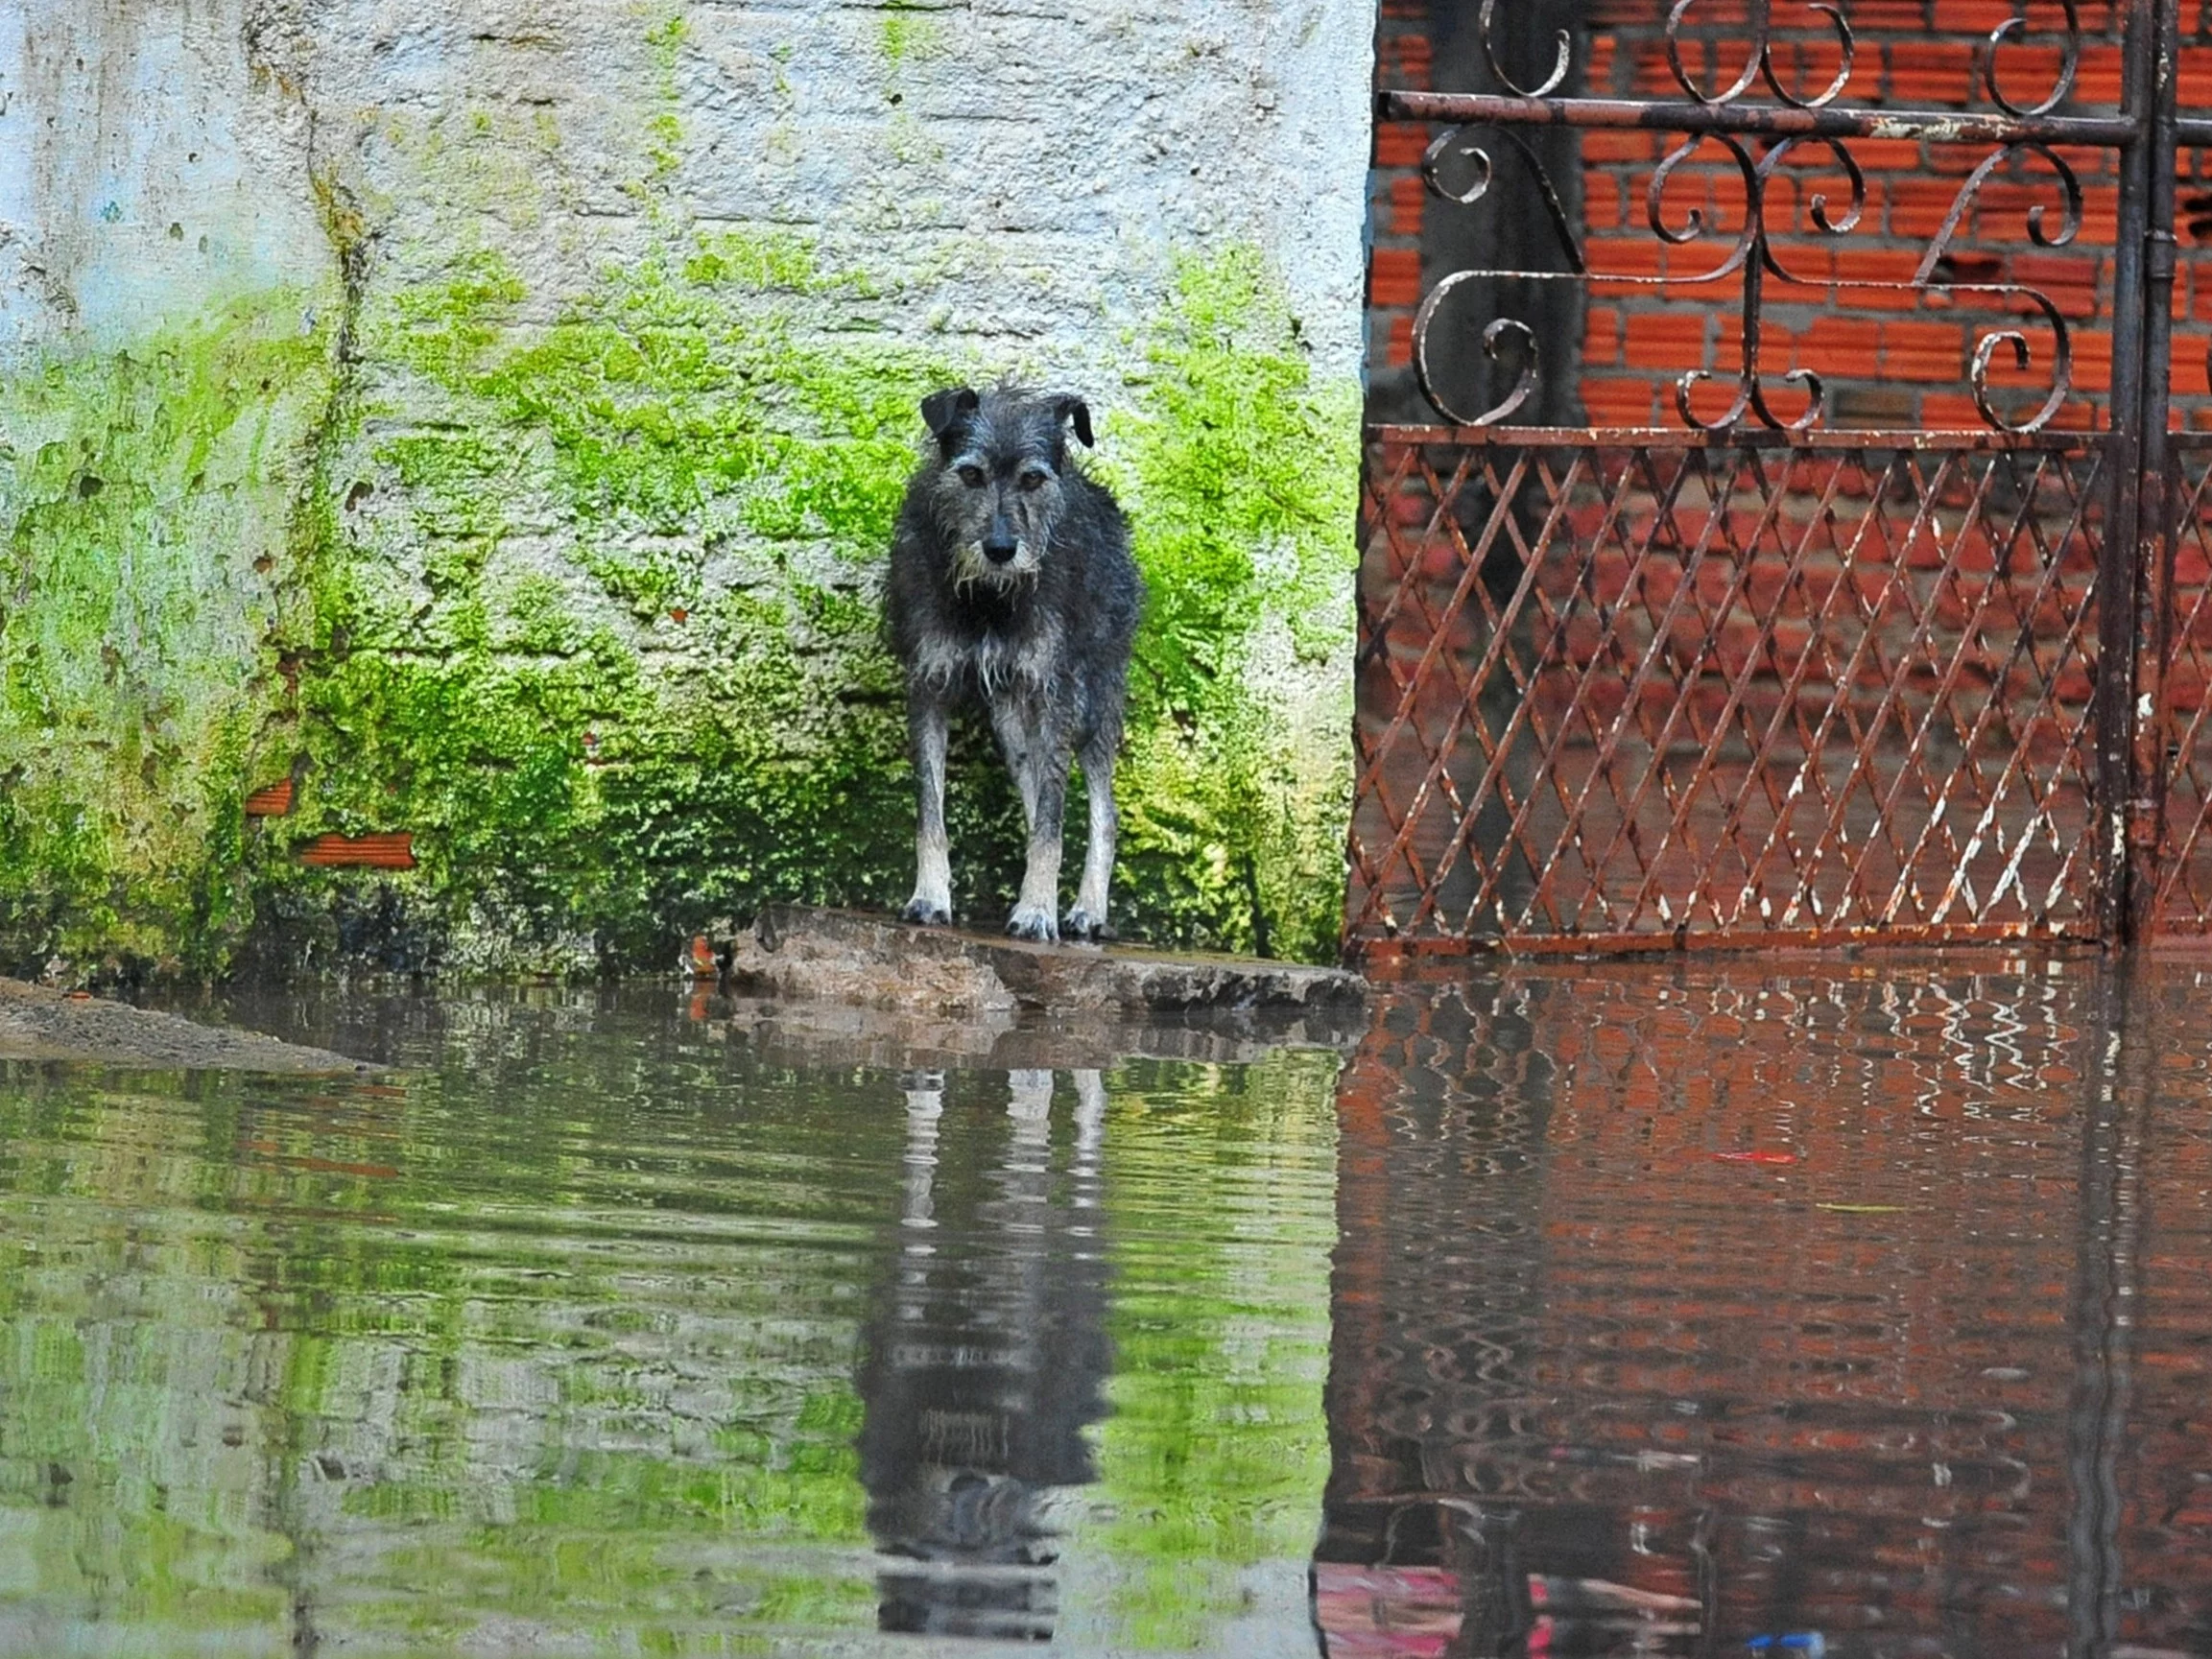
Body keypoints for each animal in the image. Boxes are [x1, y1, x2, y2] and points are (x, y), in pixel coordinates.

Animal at [880, 382, 1141, 942]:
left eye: (1033, 478)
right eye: (971, 474)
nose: (1000, 548)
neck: (988, 598)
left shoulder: (1055, 692)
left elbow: (1054, 820)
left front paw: (1037, 910)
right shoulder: (928, 687)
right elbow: (930, 811)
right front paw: (930, 896)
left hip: (1092, 702)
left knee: (1102, 811)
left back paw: (1087, 910)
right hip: (1013, 723)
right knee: (1037, 791)